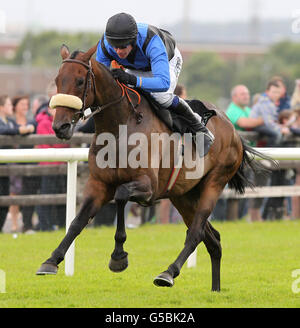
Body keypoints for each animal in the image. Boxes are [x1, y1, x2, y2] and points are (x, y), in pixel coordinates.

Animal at [35, 43, 272, 290]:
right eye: (57, 79)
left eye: (80, 81)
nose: (60, 126)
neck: (120, 126)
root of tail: (233, 130)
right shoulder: (99, 184)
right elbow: (77, 221)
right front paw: (51, 260)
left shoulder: (147, 187)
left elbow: (121, 196)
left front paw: (118, 257)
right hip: (183, 195)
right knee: (212, 239)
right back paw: (215, 290)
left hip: (214, 183)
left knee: (196, 233)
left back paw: (168, 273)